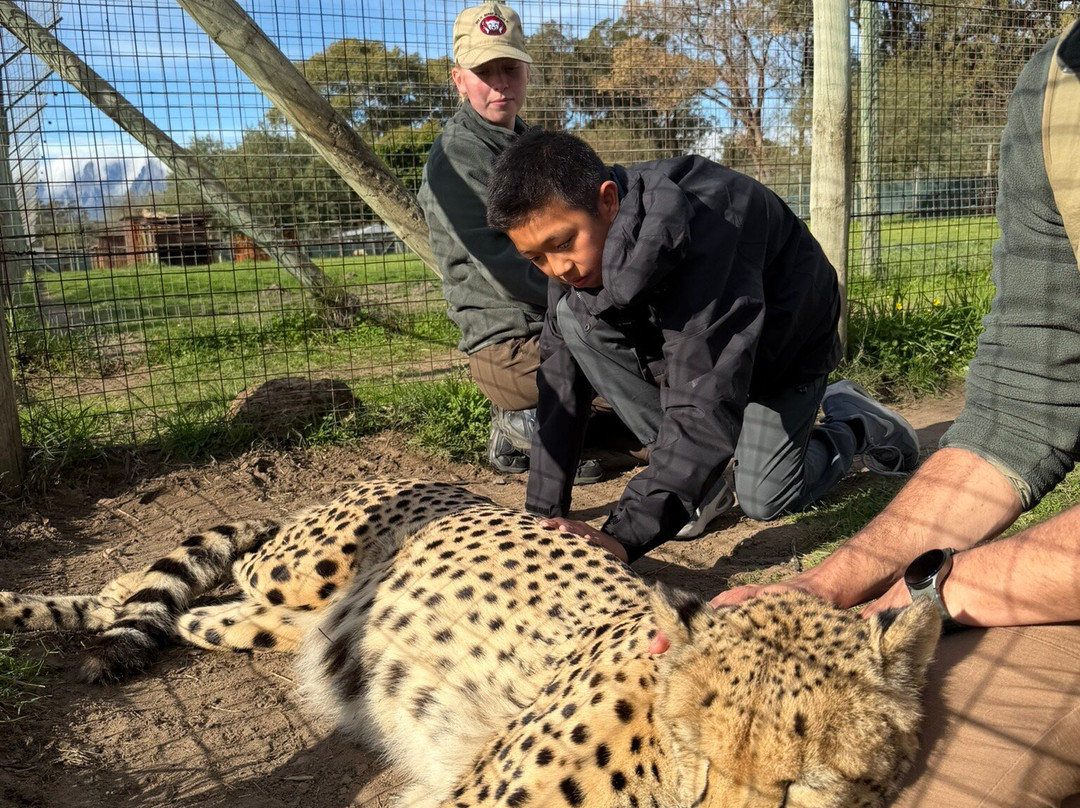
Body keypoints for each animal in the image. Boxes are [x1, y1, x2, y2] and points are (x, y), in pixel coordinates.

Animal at [0, 479, 941, 807]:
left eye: (806, 784)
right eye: (696, 753)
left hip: (281, 620)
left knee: (192, 607)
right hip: (298, 568)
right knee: (179, 571)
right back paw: (19, 608)